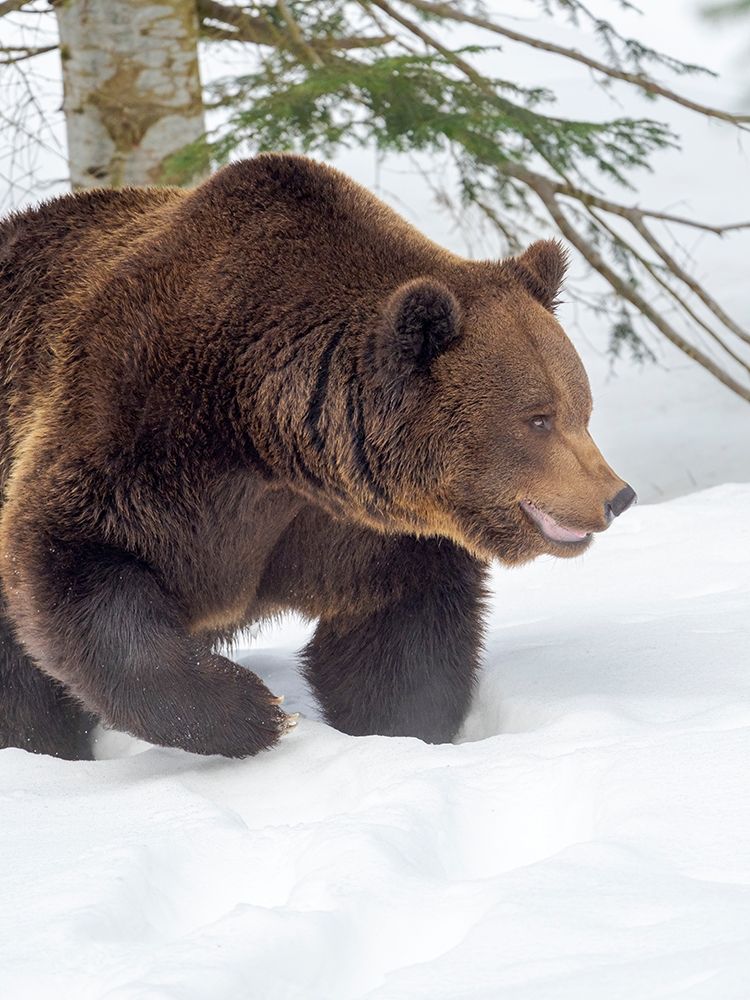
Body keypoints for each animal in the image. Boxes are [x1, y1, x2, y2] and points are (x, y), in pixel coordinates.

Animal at [0, 153, 636, 761]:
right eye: (538, 418)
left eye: (582, 408)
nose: (616, 495)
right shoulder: (142, 432)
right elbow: (73, 562)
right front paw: (257, 713)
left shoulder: (355, 530)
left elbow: (398, 637)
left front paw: (401, 730)